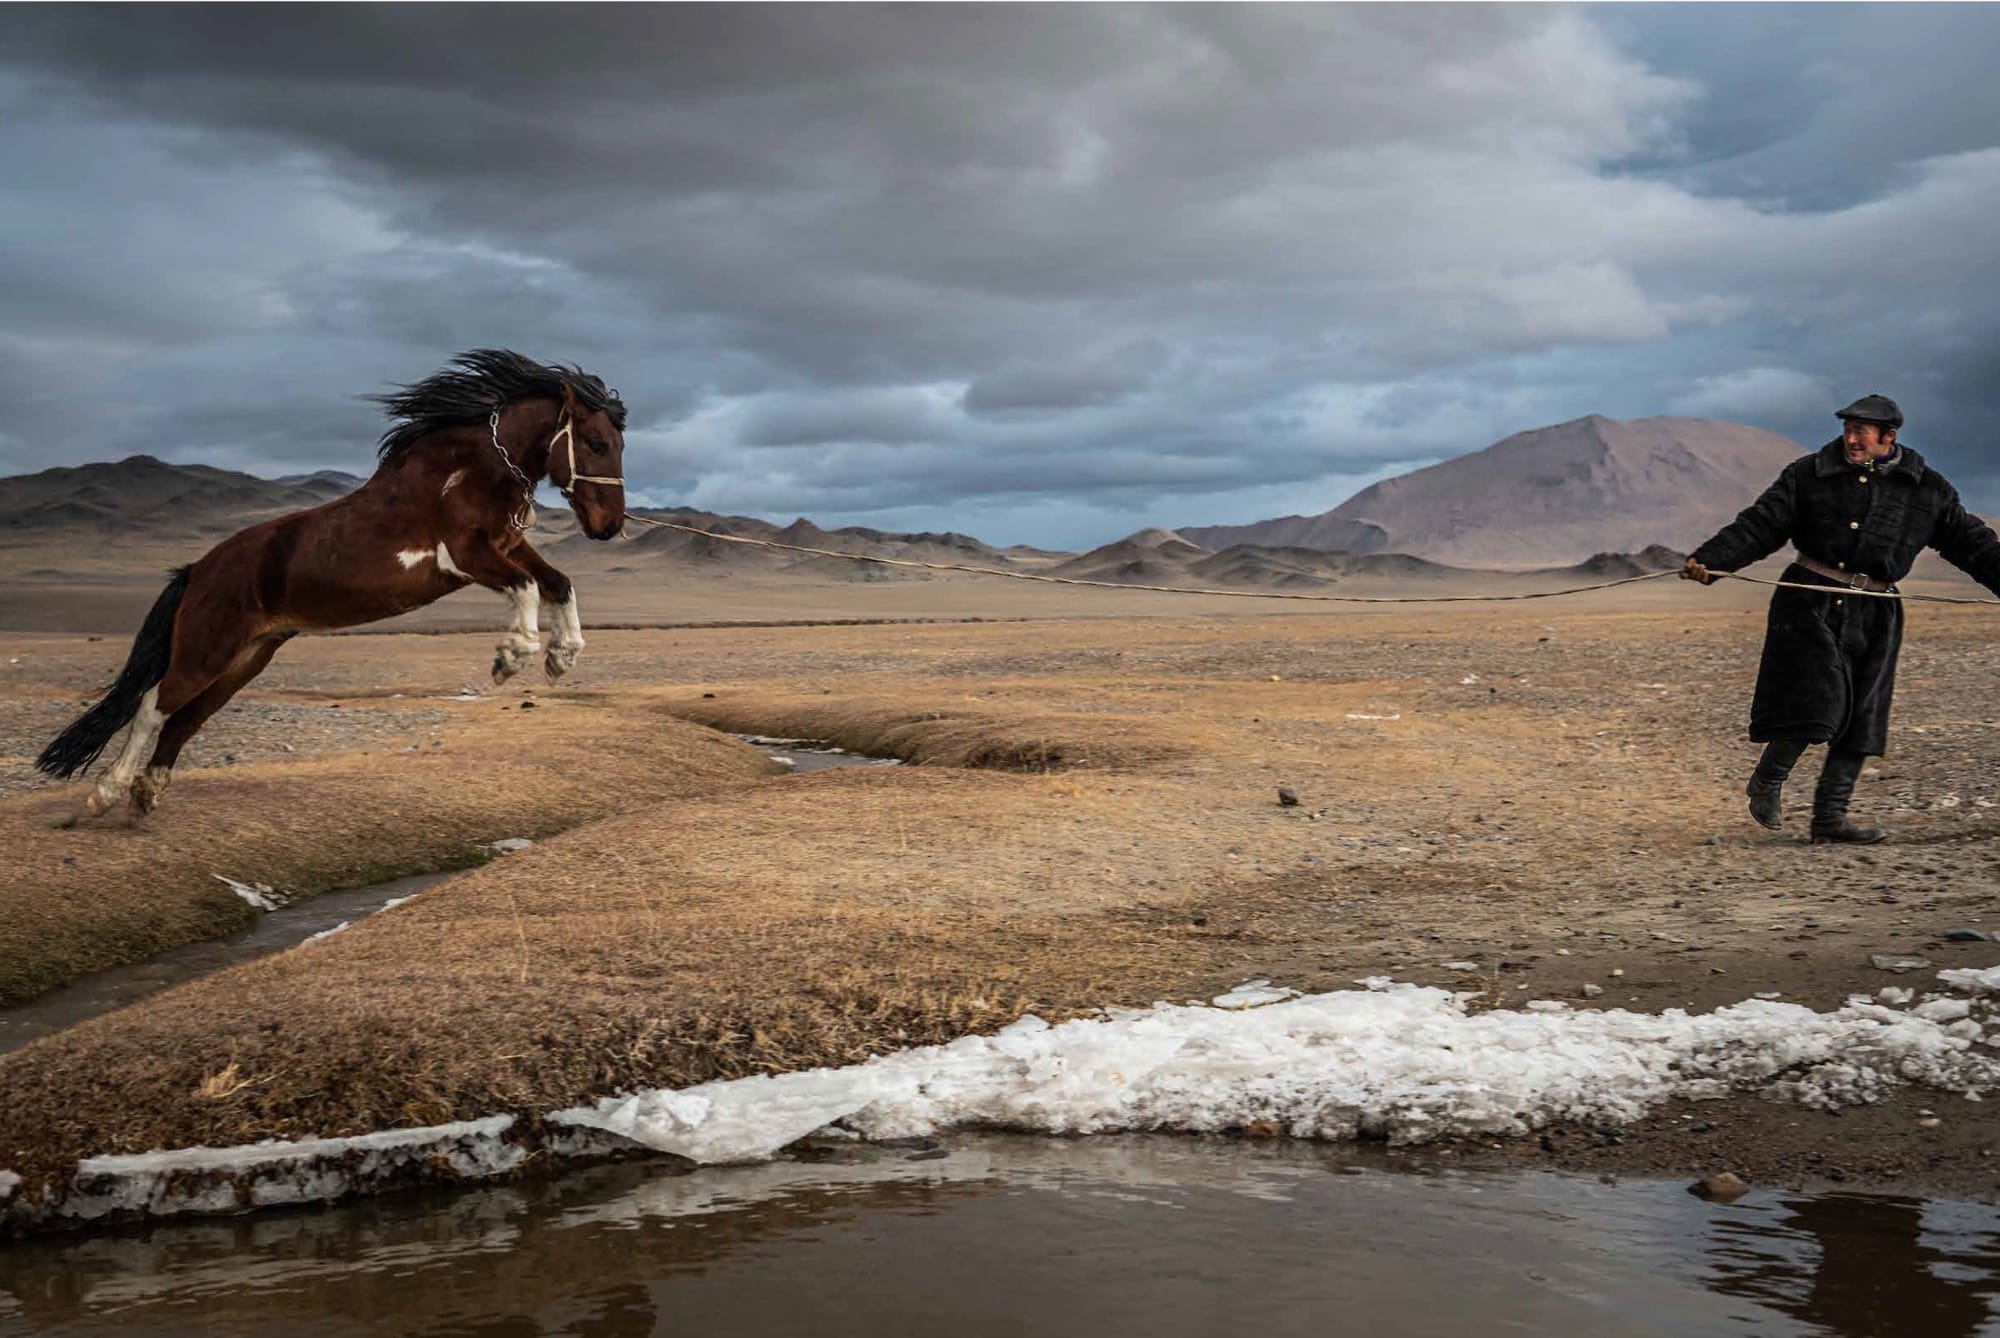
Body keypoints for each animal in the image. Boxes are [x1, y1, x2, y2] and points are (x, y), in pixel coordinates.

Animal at [36, 349, 628, 820]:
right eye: (596, 443)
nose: (609, 527)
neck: (473, 470)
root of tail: (198, 570)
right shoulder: (467, 555)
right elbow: (527, 589)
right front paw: (512, 657)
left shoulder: (507, 547)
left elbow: (559, 583)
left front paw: (562, 656)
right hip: (207, 650)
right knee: (152, 705)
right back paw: (107, 793)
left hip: (246, 659)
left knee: (184, 721)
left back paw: (146, 794)